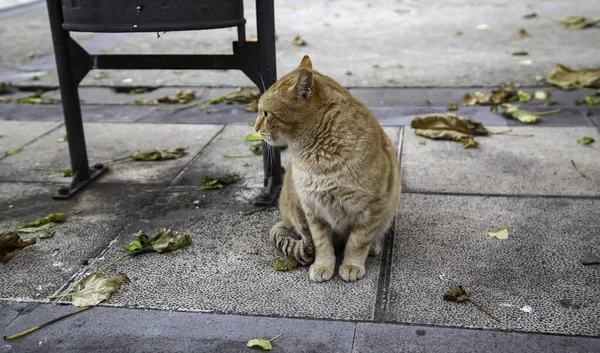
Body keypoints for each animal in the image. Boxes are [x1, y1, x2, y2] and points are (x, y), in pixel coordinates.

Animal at [255, 54, 400, 280]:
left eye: (267, 114)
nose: (255, 128)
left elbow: (358, 242)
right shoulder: (312, 211)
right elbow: (322, 244)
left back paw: (375, 246)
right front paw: (323, 266)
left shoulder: (371, 209)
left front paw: (352, 265)